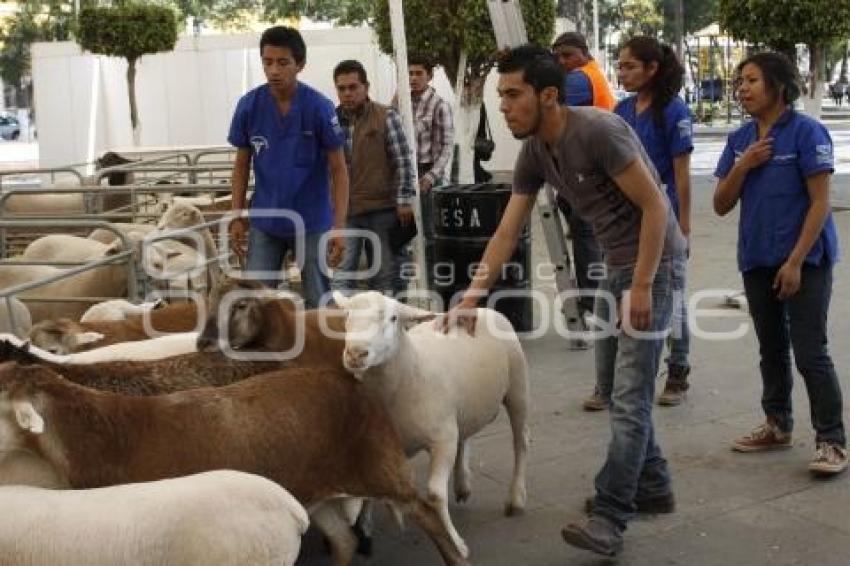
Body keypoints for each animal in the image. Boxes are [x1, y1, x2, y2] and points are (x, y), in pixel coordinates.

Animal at [332, 292, 528, 564]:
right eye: (347, 316)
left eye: (393, 318)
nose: (356, 353)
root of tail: (484, 310)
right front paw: (367, 528)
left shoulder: (441, 439)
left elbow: (435, 495)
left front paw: (455, 544)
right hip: (461, 408)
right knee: (464, 437)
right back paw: (462, 484)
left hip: (517, 387)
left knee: (520, 442)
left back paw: (516, 498)